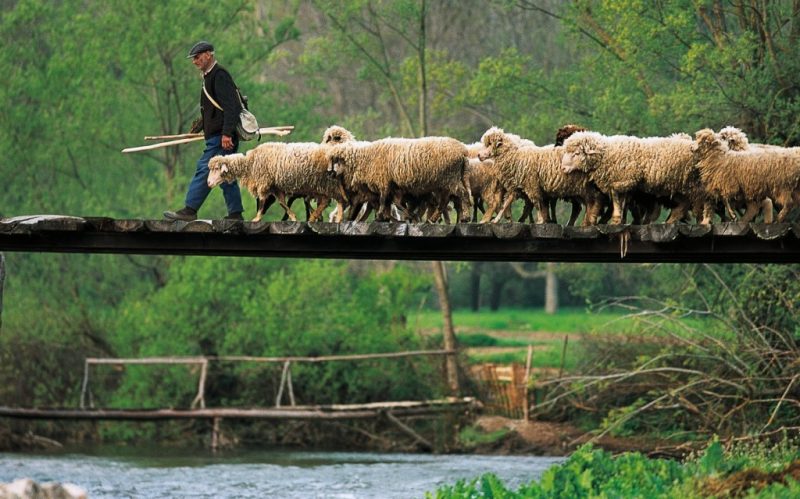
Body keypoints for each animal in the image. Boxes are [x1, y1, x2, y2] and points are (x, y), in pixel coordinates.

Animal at [206, 143, 346, 225]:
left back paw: (328, 218)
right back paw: (326, 218)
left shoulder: (264, 182)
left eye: (216, 169)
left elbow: (262, 201)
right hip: (321, 185)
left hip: (326, 183)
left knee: (334, 200)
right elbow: (282, 203)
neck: (250, 163)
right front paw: (293, 217)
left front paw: (257, 218)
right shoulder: (275, 187)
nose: (208, 183)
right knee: (329, 201)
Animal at [326, 137, 472, 223]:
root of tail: (463, 151)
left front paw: (381, 216)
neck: (365, 158)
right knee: (445, 200)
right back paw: (434, 218)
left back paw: (465, 217)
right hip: (447, 181)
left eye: (335, 160)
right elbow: (392, 202)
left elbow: (383, 200)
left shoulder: (384, 181)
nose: (329, 173)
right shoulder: (393, 186)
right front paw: (396, 216)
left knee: (462, 194)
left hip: (450, 178)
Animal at [560, 131, 696, 225]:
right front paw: (619, 219)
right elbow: (621, 201)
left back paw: (669, 221)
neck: (606, 154)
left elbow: (616, 197)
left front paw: (616, 219)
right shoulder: (623, 183)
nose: (563, 168)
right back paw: (668, 221)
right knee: (683, 204)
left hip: (683, 183)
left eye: (577, 153)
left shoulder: (625, 180)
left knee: (685, 204)